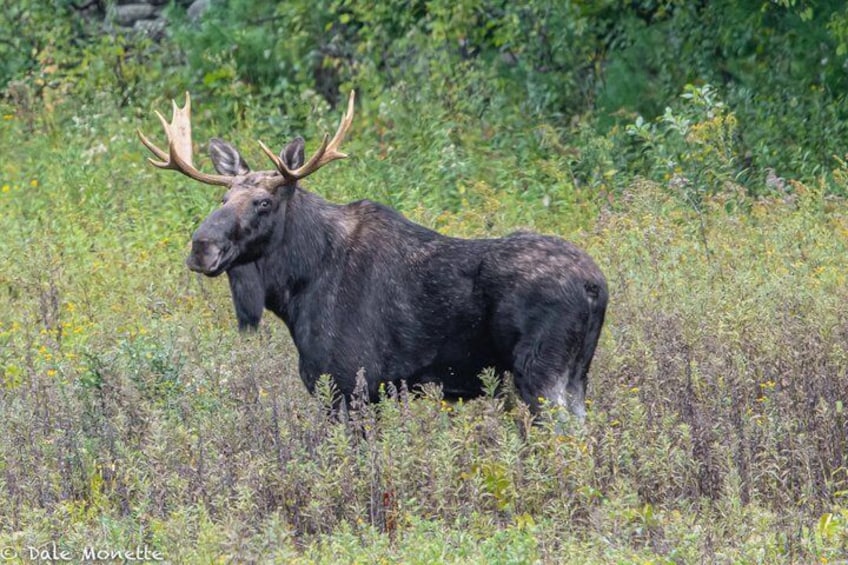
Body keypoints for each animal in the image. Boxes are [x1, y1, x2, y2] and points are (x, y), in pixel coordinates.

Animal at [139, 91, 607, 421]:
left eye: (264, 203)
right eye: (223, 197)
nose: (201, 247)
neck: (294, 289)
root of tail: (596, 286)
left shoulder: (350, 384)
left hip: (540, 373)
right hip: (576, 376)